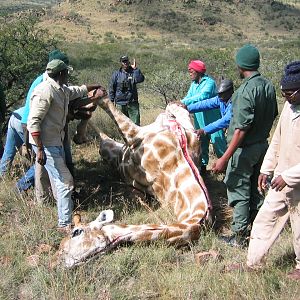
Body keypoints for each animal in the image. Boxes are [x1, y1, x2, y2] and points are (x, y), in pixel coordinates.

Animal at [52, 95, 211, 268]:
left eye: (76, 232)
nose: (54, 262)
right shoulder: (141, 135)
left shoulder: (144, 134)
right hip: (114, 148)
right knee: (101, 134)